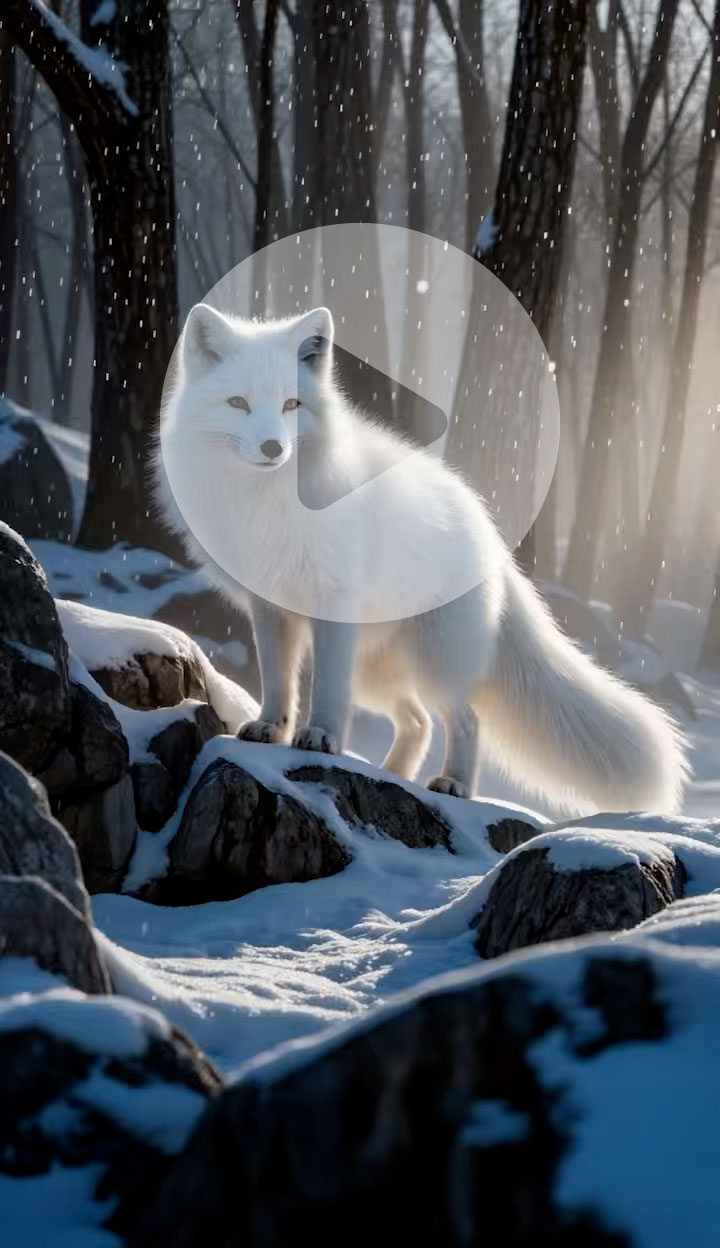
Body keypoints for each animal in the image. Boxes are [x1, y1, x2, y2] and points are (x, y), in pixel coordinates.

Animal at [155, 302, 689, 814]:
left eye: (292, 405)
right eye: (238, 403)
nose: (273, 447)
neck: (269, 501)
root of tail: (490, 534)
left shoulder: (333, 605)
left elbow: (326, 687)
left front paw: (322, 737)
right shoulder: (269, 609)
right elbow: (277, 683)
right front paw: (270, 728)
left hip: (432, 663)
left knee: (466, 720)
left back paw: (453, 784)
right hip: (379, 674)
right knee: (417, 722)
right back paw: (393, 776)